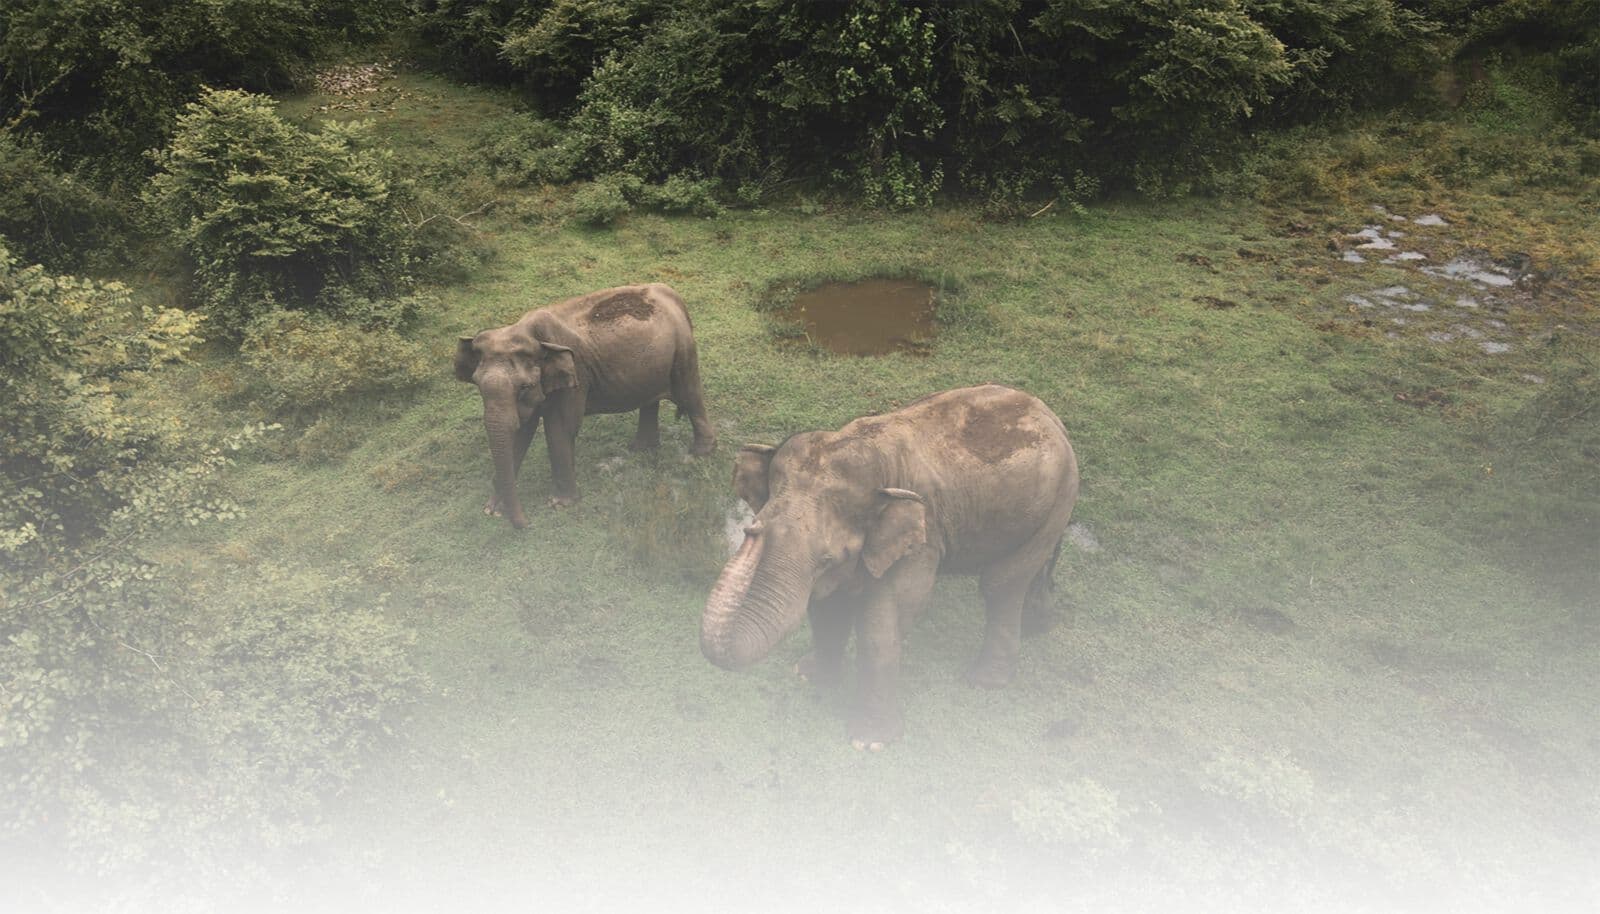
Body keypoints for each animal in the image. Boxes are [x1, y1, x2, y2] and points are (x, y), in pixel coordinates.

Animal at [454, 283, 716, 528]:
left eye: (524, 387)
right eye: (478, 385)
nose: (528, 524)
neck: (527, 332)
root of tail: (672, 294)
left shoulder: (576, 375)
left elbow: (560, 428)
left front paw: (559, 504)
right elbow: (521, 432)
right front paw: (493, 509)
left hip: (682, 352)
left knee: (690, 395)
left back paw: (699, 454)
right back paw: (641, 449)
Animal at [700, 384, 1079, 749]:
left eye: (827, 559)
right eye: (756, 523)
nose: (751, 531)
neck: (871, 450)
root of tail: (1051, 416)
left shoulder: (923, 538)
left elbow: (887, 617)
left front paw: (869, 741)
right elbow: (828, 608)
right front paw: (810, 676)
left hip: (1058, 497)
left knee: (1001, 583)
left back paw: (985, 680)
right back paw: (1038, 624)